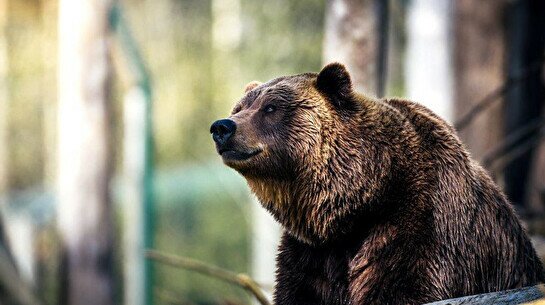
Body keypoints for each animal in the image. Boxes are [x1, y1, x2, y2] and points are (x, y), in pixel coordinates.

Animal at [209, 63, 544, 302]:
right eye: (239, 108)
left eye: (271, 108)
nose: (222, 127)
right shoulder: (312, 253)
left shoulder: (421, 224)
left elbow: (402, 286)